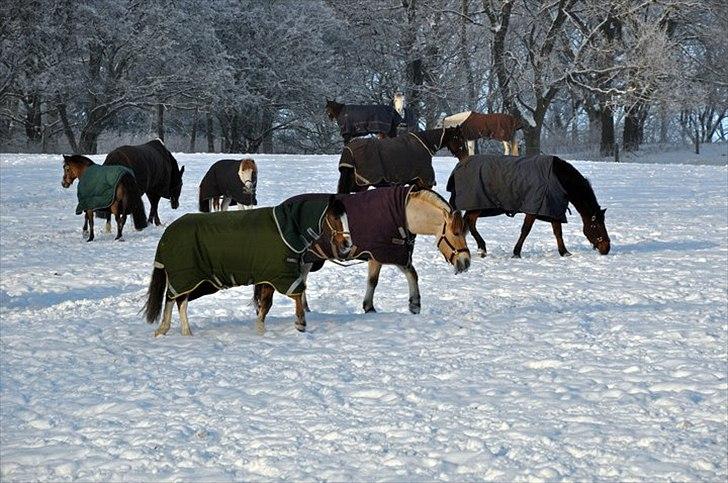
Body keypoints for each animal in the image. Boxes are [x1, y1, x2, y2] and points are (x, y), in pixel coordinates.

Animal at [143, 196, 351, 335]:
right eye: (334, 217)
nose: (346, 244)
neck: (287, 229)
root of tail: (168, 234)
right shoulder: (280, 275)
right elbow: (296, 294)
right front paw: (300, 323)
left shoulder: (268, 276)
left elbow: (266, 304)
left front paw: (260, 328)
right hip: (189, 276)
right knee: (179, 300)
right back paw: (186, 332)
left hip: (197, 280)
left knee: (172, 297)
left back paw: (164, 329)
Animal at [300, 186, 471, 315]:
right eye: (456, 233)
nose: (466, 261)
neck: (404, 214)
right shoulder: (377, 254)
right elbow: (373, 281)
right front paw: (369, 307)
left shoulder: (397, 253)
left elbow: (412, 274)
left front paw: (415, 304)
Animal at [336, 126, 468, 193]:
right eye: (458, 138)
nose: (465, 156)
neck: (425, 144)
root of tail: (349, 150)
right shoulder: (424, 183)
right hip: (362, 184)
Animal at [446, 154, 610, 258]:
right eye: (596, 226)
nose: (606, 248)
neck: (558, 178)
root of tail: (459, 166)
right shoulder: (534, 208)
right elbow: (525, 230)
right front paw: (516, 252)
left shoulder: (552, 209)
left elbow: (558, 232)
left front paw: (564, 252)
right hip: (478, 205)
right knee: (470, 222)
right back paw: (482, 248)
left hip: (477, 206)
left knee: (468, 223)